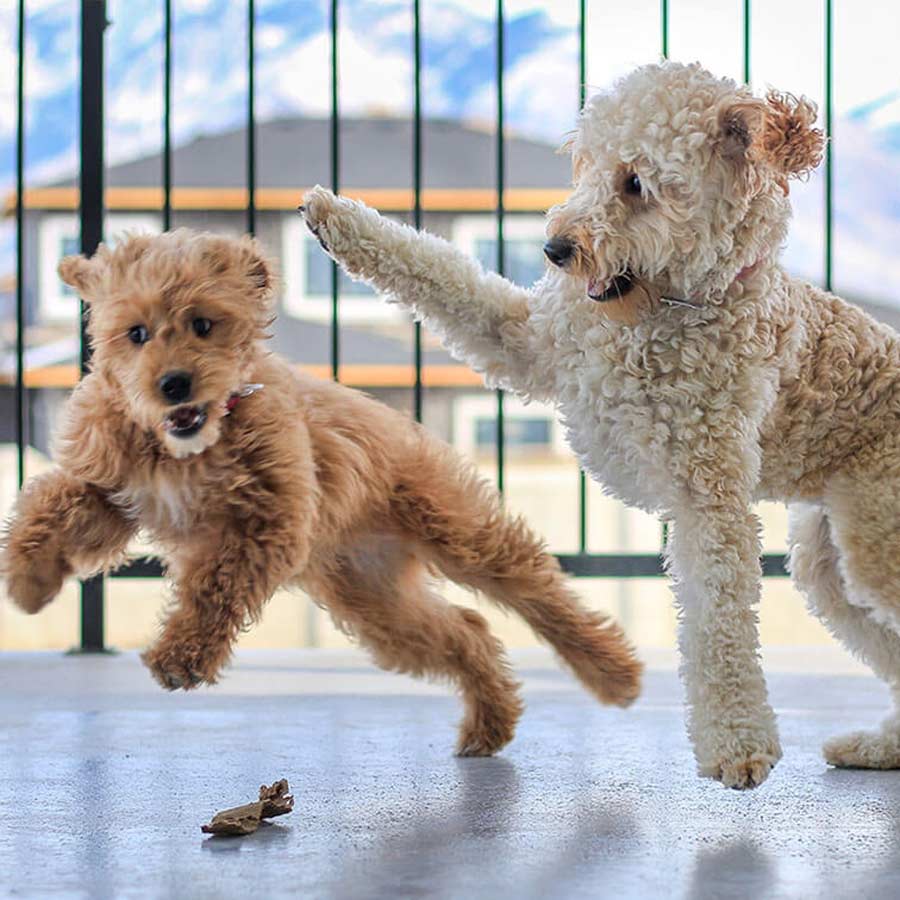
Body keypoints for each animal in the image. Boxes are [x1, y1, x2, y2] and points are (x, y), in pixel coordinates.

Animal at [0, 228, 642, 757]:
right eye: (135, 334)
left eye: (203, 324)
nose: (173, 384)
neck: (189, 447)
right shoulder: (114, 487)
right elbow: (49, 507)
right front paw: (30, 581)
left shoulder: (267, 524)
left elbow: (213, 586)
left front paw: (181, 657)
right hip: (376, 604)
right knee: (465, 632)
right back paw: (489, 724)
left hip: (458, 531)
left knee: (541, 595)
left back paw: (612, 673)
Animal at [301, 60, 900, 788]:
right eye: (583, 163)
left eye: (635, 182)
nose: (555, 249)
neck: (668, 309)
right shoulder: (528, 340)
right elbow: (446, 275)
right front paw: (338, 219)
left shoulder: (709, 500)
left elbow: (719, 623)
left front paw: (737, 743)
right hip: (829, 563)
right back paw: (879, 746)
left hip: (873, 537)